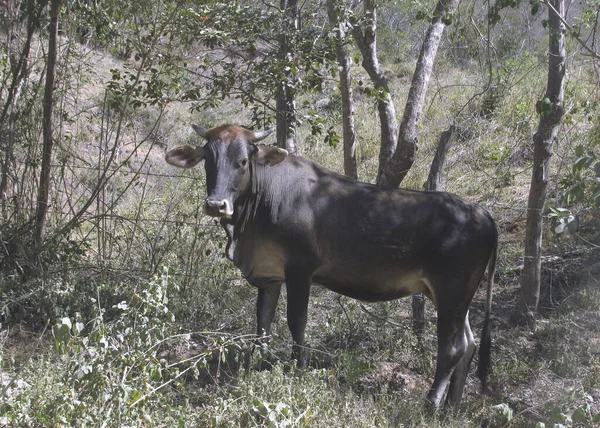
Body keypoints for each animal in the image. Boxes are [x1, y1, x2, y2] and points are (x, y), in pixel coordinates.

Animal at [165, 123, 496, 408]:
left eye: (243, 161)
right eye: (208, 159)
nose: (215, 204)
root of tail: (481, 212)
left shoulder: (300, 269)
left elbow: (296, 321)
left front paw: (299, 369)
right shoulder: (270, 275)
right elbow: (263, 324)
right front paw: (256, 364)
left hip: (452, 292)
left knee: (451, 349)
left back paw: (431, 403)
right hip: (453, 298)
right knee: (468, 345)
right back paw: (451, 407)